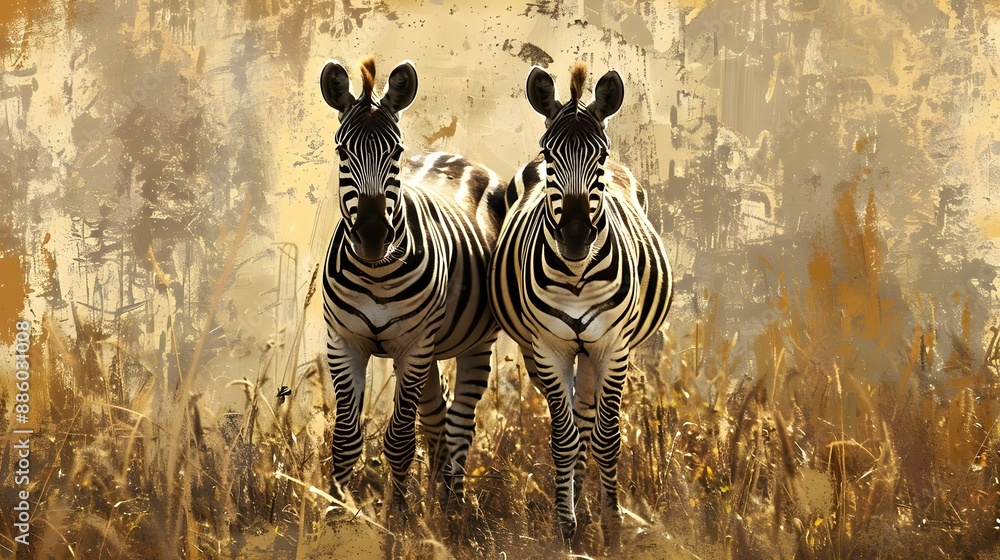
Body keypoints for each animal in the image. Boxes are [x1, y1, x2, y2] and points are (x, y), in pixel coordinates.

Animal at [319, 56, 506, 519]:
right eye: (342, 152)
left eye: (395, 152)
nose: (372, 236)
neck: (375, 273)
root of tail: (454, 155)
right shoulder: (343, 341)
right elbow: (345, 440)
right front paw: (332, 515)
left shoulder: (414, 344)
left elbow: (400, 440)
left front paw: (398, 518)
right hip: (431, 350)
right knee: (438, 416)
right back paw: (437, 501)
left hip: (471, 344)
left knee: (459, 423)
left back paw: (452, 506)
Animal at [488, 63, 672, 548]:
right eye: (550, 155)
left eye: (599, 157)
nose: (574, 238)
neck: (574, 277)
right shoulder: (548, 349)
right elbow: (563, 438)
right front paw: (565, 530)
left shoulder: (613, 347)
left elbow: (606, 439)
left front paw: (612, 530)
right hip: (546, 353)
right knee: (575, 421)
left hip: (594, 352)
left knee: (589, 421)